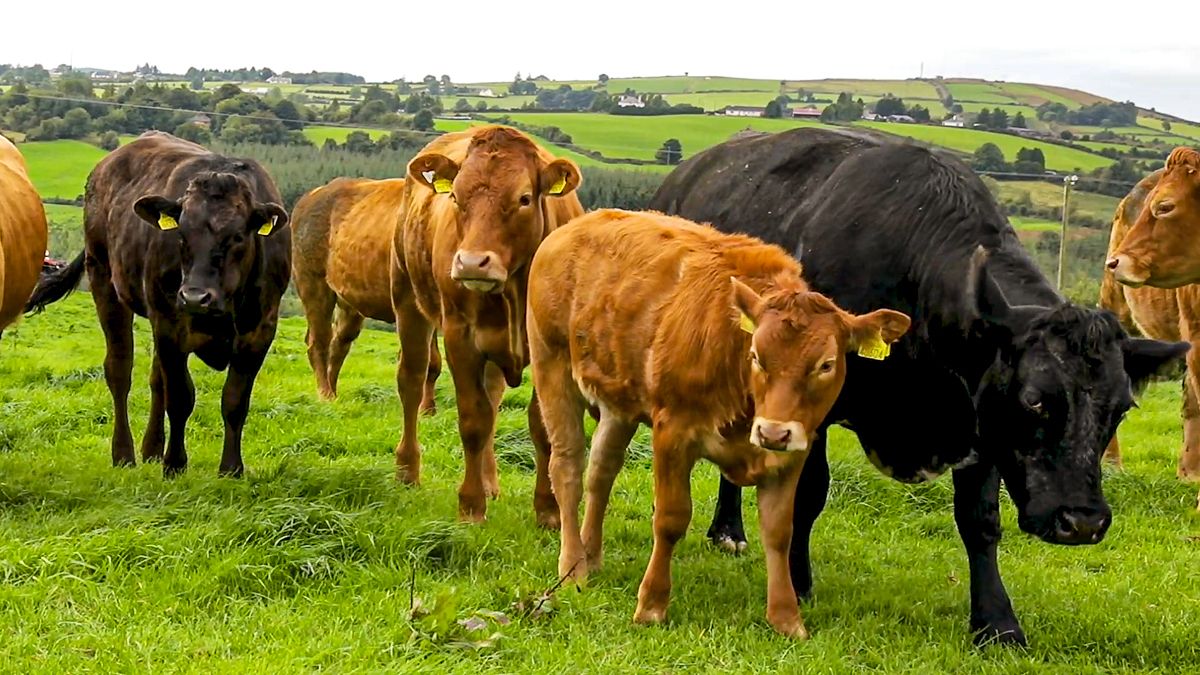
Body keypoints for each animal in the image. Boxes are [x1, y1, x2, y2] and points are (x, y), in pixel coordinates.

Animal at [24, 131, 291, 477]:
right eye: (182, 235)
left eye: (238, 237)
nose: (195, 296)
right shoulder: (170, 324)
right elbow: (179, 397)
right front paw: (174, 464)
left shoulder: (259, 330)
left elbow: (234, 400)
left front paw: (231, 469)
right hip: (105, 279)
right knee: (120, 371)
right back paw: (124, 454)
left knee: (155, 382)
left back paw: (151, 449)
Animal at [290, 177, 441, 409]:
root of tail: (313, 194)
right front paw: (425, 409)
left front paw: (428, 409)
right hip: (312, 282)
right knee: (318, 341)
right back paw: (325, 394)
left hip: (349, 301)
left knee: (339, 343)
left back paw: (333, 393)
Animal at [391, 125, 584, 524]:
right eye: (456, 197)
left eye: (524, 198)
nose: (471, 263)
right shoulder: (460, 337)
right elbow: (473, 420)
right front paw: (470, 505)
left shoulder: (550, 349)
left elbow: (540, 425)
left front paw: (548, 509)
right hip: (407, 299)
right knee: (412, 382)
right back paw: (408, 469)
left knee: (493, 400)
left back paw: (491, 481)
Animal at [527, 208, 911, 638]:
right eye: (757, 355)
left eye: (826, 364)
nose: (773, 431)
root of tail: (578, 224)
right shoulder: (673, 432)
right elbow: (671, 518)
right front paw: (652, 605)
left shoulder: (793, 452)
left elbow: (779, 531)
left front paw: (786, 617)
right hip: (551, 362)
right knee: (568, 468)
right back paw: (573, 566)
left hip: (619, 400)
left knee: (601, 471)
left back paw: (591, 555)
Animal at [648, 126, 1190, 646]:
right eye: (1034, 400)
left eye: (1120, 409)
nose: (1082, 522)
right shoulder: (815, 409)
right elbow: (810, 495)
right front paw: (797, 584)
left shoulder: (980, 425)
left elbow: (980, 522)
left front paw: (997, 623)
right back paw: (728, 531)